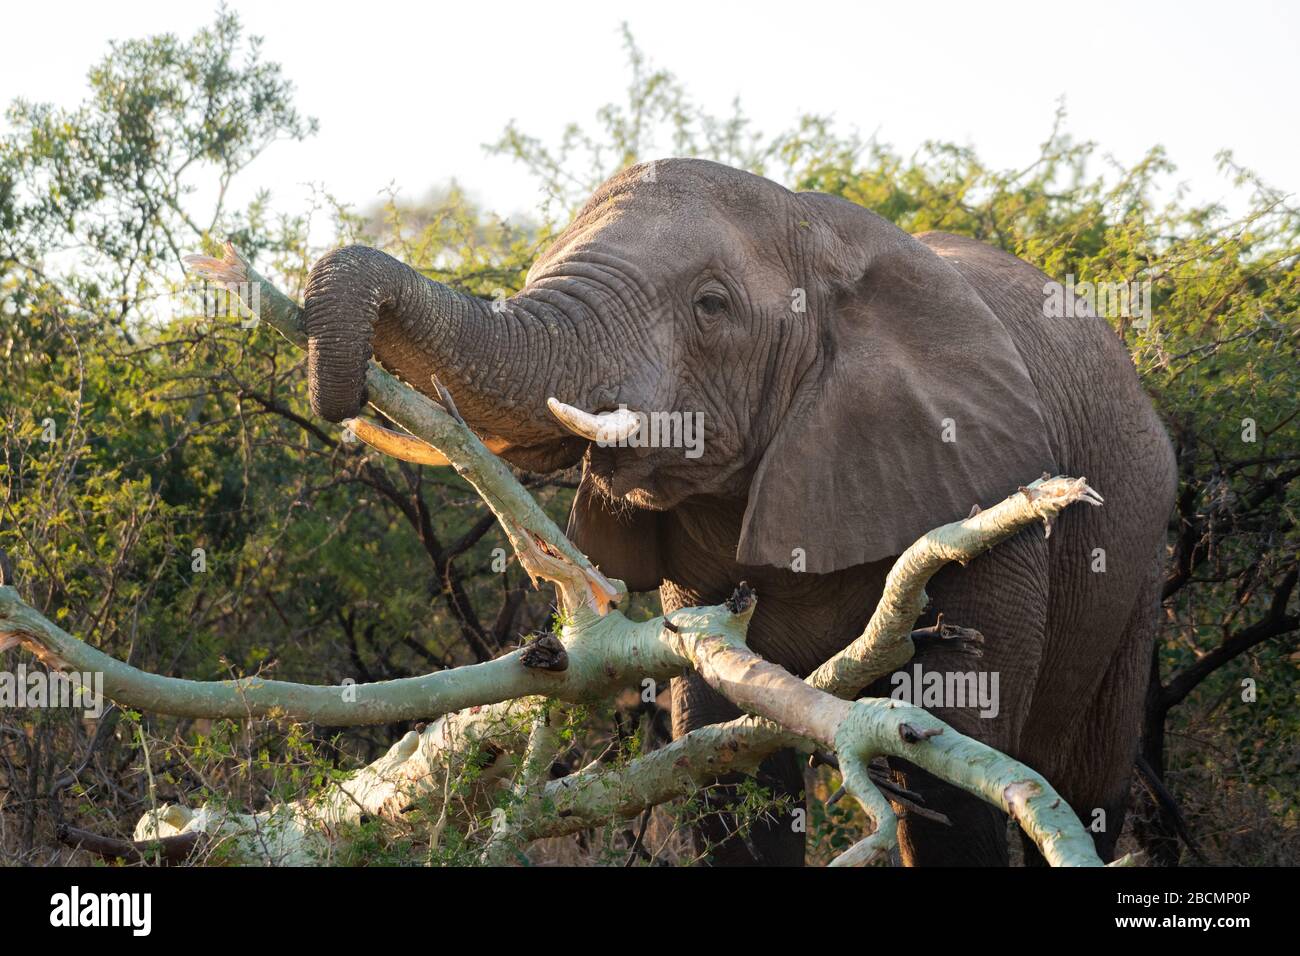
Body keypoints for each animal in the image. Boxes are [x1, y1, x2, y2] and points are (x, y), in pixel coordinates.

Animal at [300, 158, 1178, 866]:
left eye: (712, 306)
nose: (338, 400)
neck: (822, 235)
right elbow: (726, 773)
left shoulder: (986, 488)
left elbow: (956, 778)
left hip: (1138, 564)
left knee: (1084, 785)